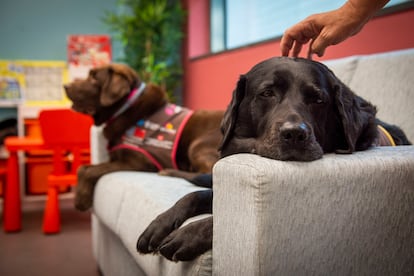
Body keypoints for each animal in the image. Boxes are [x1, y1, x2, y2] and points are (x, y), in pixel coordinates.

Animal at [136, 56, 410, 260]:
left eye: (318, 99)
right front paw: (160, 224)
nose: (295, 133)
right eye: (267, 93)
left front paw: (188, 235)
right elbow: (194, 195)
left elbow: (226, 219)